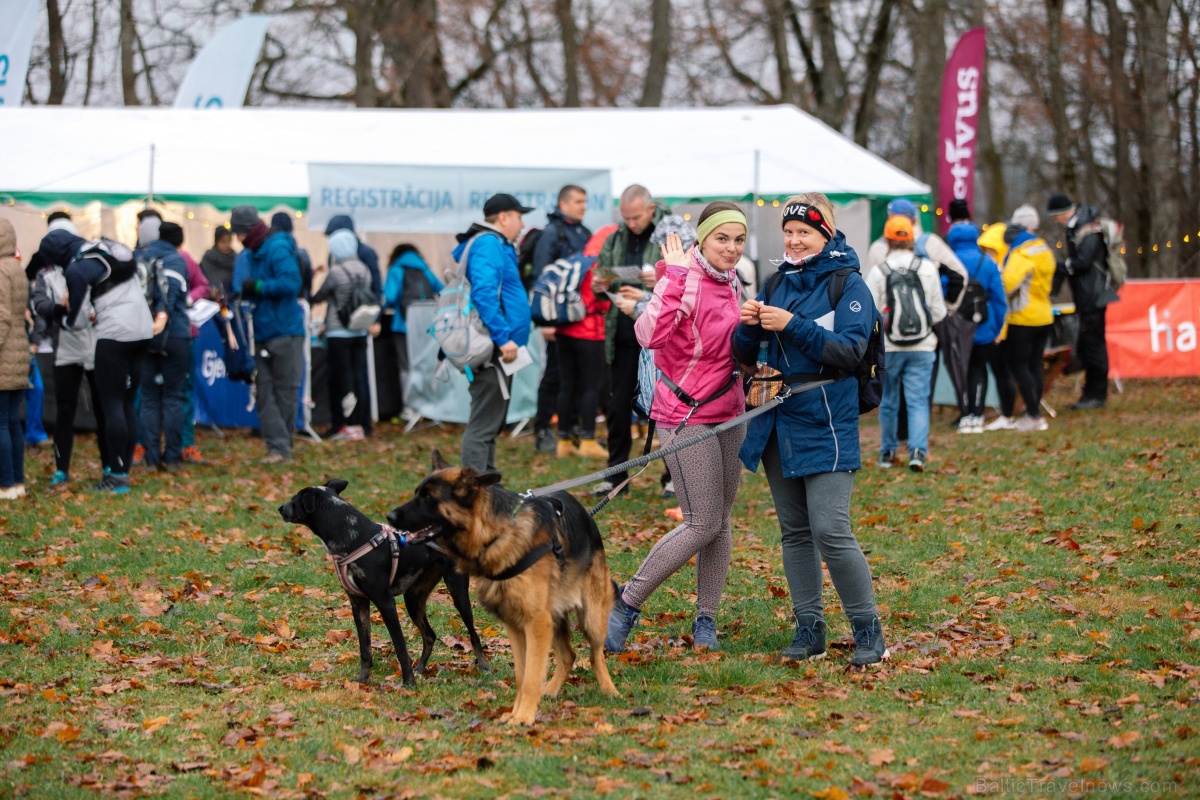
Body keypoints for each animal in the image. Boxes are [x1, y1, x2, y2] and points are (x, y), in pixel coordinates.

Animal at [278, 479, 489, 686]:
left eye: (294, 499)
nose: (280, 508)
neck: (350, 536)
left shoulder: (385, 602)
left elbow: (400, 647)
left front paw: (408, 684)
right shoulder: (358, 603)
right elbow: (365, 649)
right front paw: (362, 680)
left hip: (457, 593)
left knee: (473, 633)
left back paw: (483, 666)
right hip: (413, 600)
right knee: (430, 636)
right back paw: (420, 669)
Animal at [388, 450, 624, 724]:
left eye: (427, 498)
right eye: (417, 493)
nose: (389, 517)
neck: (495, 533)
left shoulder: (536, 623)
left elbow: (531, 676)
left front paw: (523, 719)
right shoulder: (516, 625)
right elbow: (523, 675)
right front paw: (515, 714)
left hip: (591, 617)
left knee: (596, 655)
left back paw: (610, 691)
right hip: (554, 620)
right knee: (568, 656)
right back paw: (551, 691)